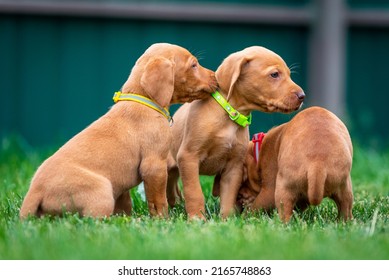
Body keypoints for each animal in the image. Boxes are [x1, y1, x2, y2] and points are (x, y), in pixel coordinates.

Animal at [19, 43, 217, 219]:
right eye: (193, 65)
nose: (215, 77)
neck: (143, 101)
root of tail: (35, 191)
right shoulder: (154, 166)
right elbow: (158, 201)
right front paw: (162, 220)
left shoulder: (123, 184)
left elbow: (125, 204)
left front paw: (126, 219)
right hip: (102, 190)